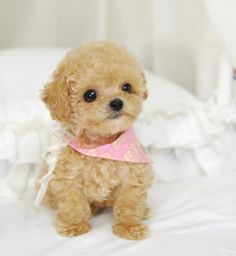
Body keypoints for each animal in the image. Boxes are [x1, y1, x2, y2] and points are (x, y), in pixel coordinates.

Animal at [37, 40, 153, 240]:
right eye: (89, 95)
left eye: (127, 87)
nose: (117, 102)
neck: (102, 144)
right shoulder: (68, 178)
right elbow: (73, 204)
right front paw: (74, 226)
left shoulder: (132, 176)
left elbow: (129, 204)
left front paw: (129, 227)